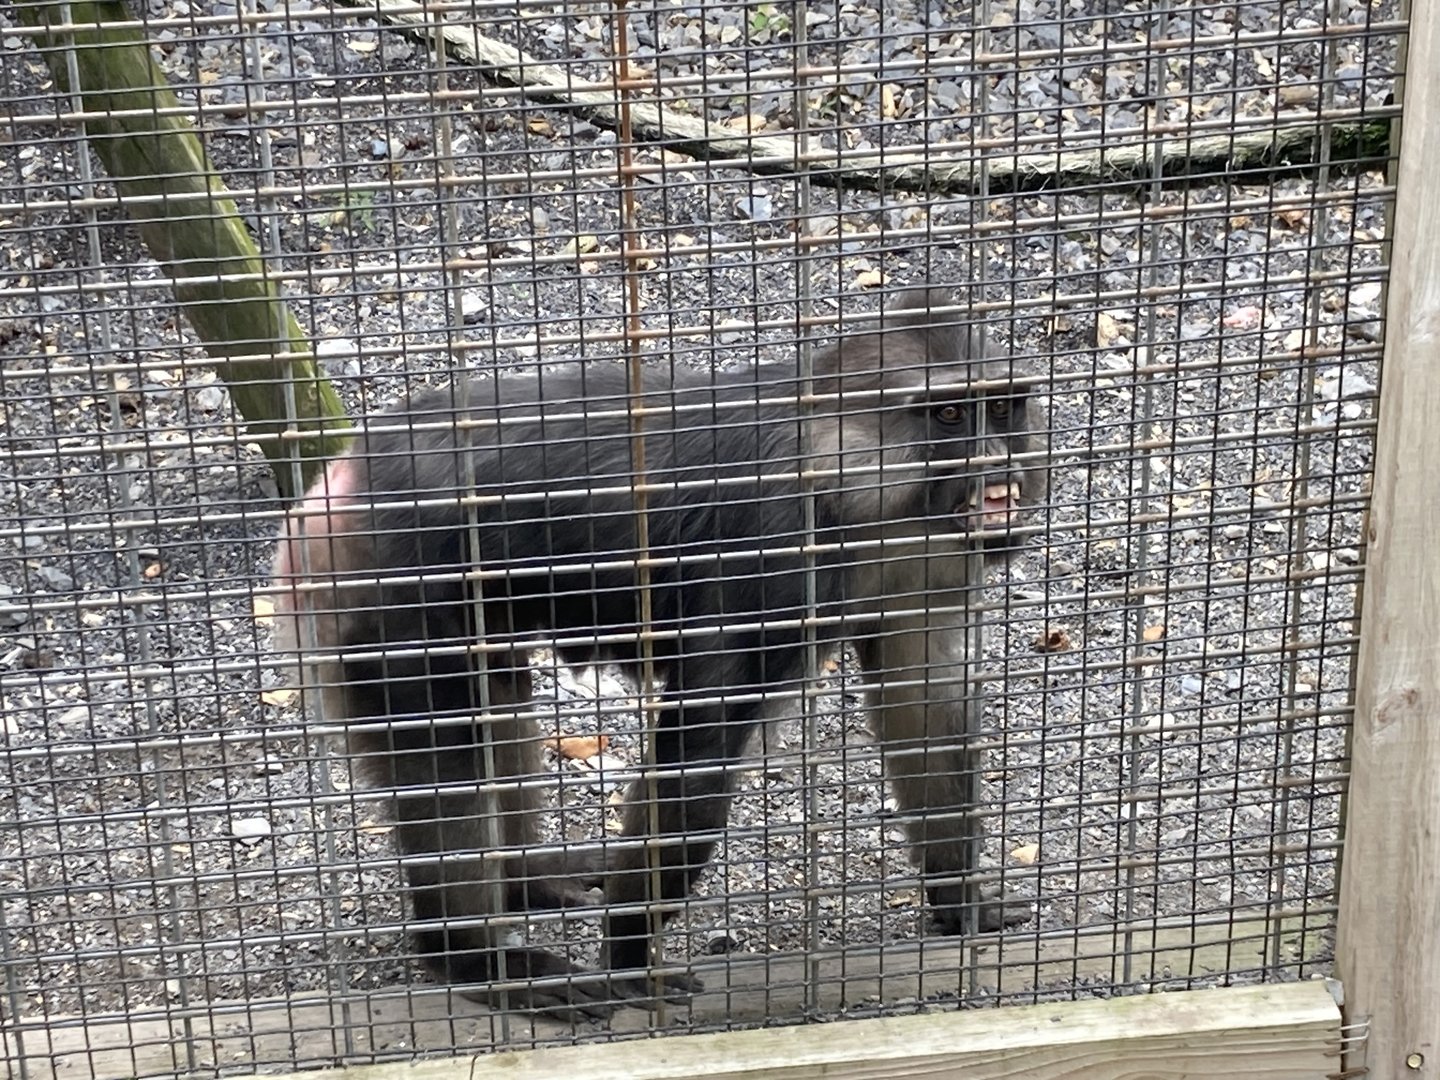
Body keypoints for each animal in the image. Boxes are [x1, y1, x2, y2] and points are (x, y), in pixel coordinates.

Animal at [270, 285, 1047, 1020]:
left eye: (1003, 408)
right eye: (948, 417)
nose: (998, 467)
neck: (846, 486)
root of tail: (339, 482)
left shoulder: (930, 564)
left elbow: (925, 705)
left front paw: (962, 898)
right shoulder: (772, 556)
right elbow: (695, 750)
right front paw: (628, 957)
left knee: (497, 708)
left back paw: (525, 883)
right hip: (392, 597)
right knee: (450, 751)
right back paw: (474, 959)